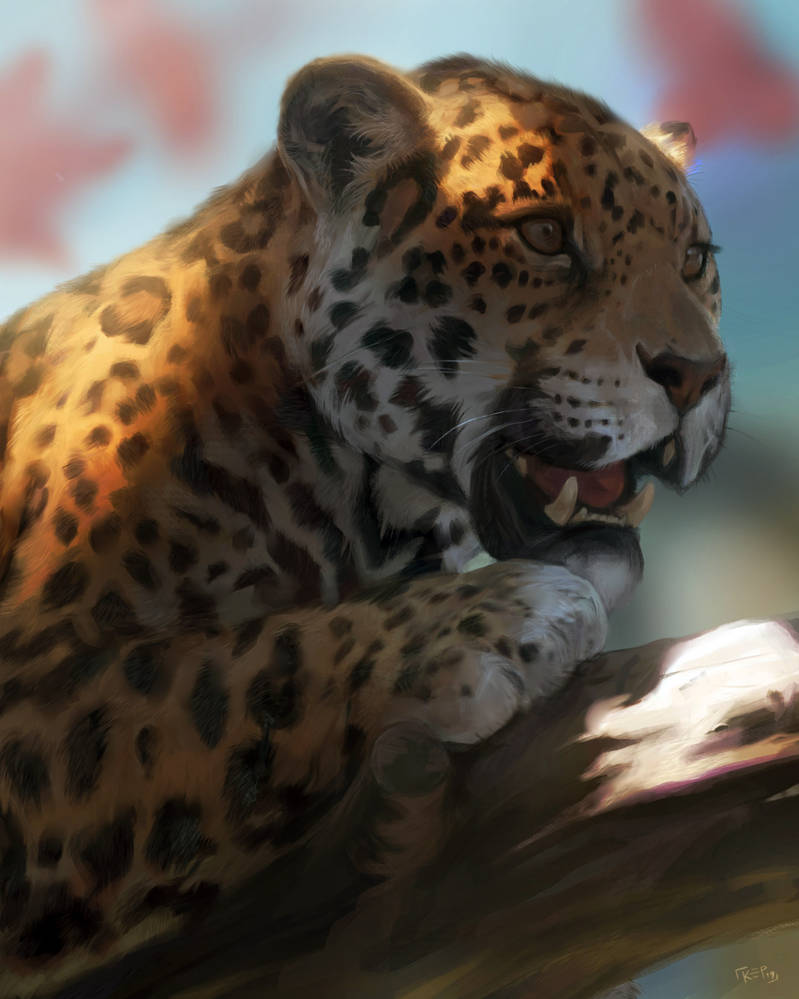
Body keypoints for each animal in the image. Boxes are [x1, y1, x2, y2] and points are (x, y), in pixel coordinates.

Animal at [0, 53, 728, 995]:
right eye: (541, 235)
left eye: (695, 258)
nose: (697, 374)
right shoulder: (35, 697)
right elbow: (237, 666)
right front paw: (496, 621)